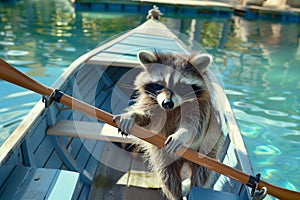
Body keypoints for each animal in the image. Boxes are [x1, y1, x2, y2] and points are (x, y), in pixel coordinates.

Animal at [114, 50, 223, 200]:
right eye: (160, 84)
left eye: (181, 86)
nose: (167, 103)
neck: (174, 108)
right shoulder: (152, 102)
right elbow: (149, 120)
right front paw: (134, 115)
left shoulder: (201, 107)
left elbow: (195, 128)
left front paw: (181, 134)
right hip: (162, 157)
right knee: (168, 178)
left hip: (208, 152)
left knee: (201, 177)